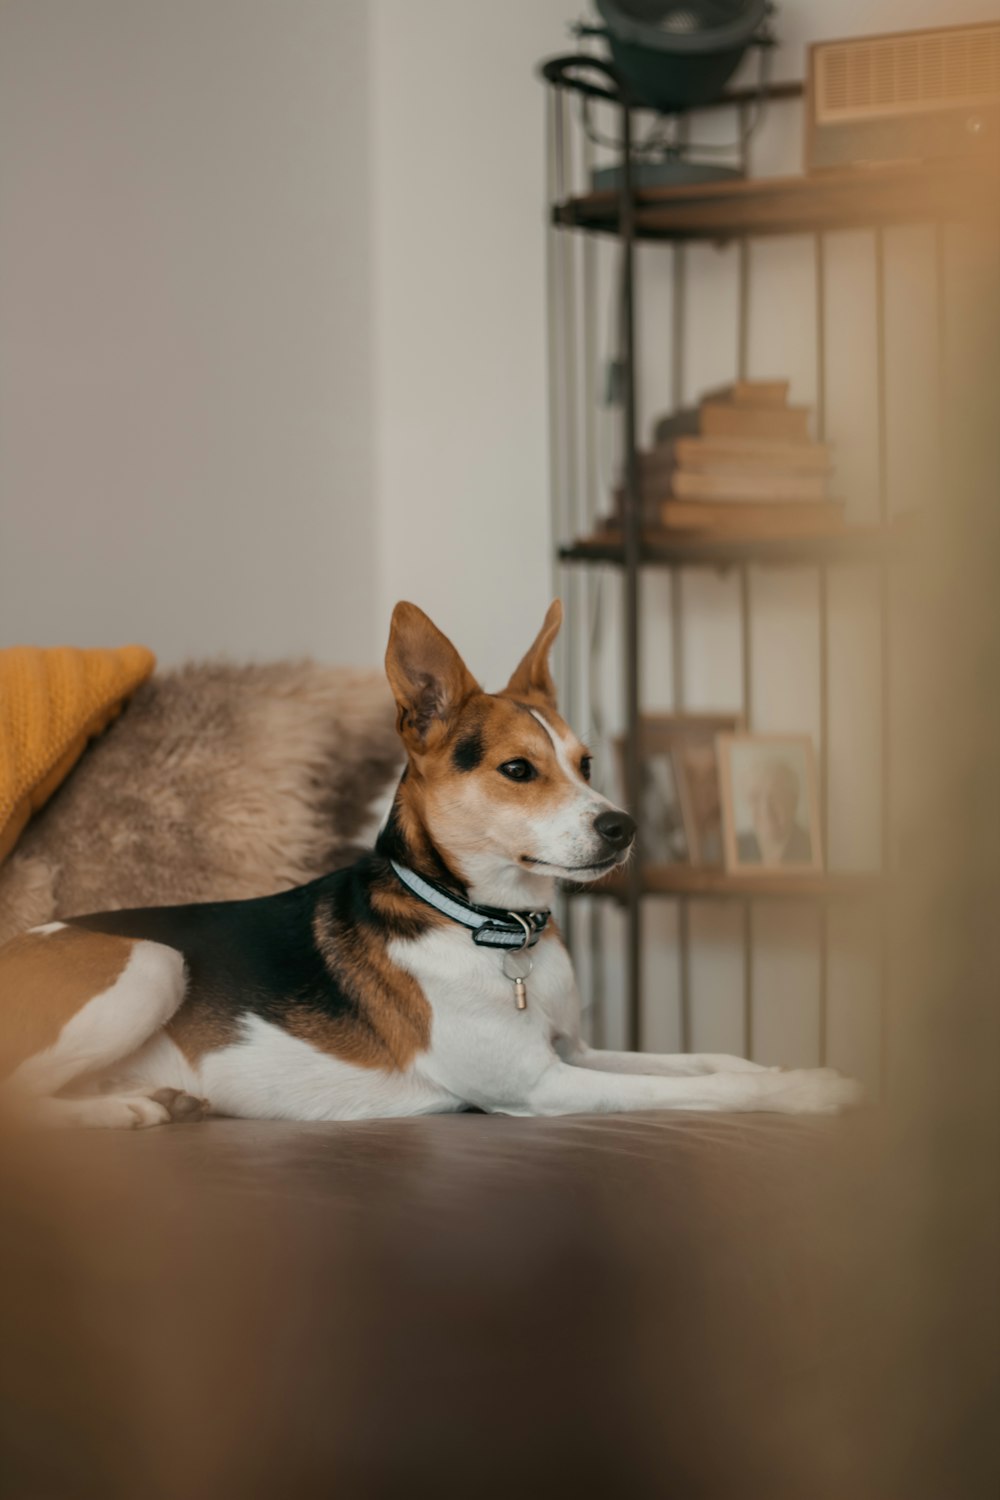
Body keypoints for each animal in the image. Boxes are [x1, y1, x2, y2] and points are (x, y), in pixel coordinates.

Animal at [0, 597, 863, 1128]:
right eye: (518, 770)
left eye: (584, 762)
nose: (623, 828)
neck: (493, 925)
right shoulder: (540, 1083)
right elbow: (712, 1087)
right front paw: (807, 1093)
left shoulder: (573, 1050)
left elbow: (702, 1059)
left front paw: (793, 1069)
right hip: (153, 962)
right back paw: (129, 1109)